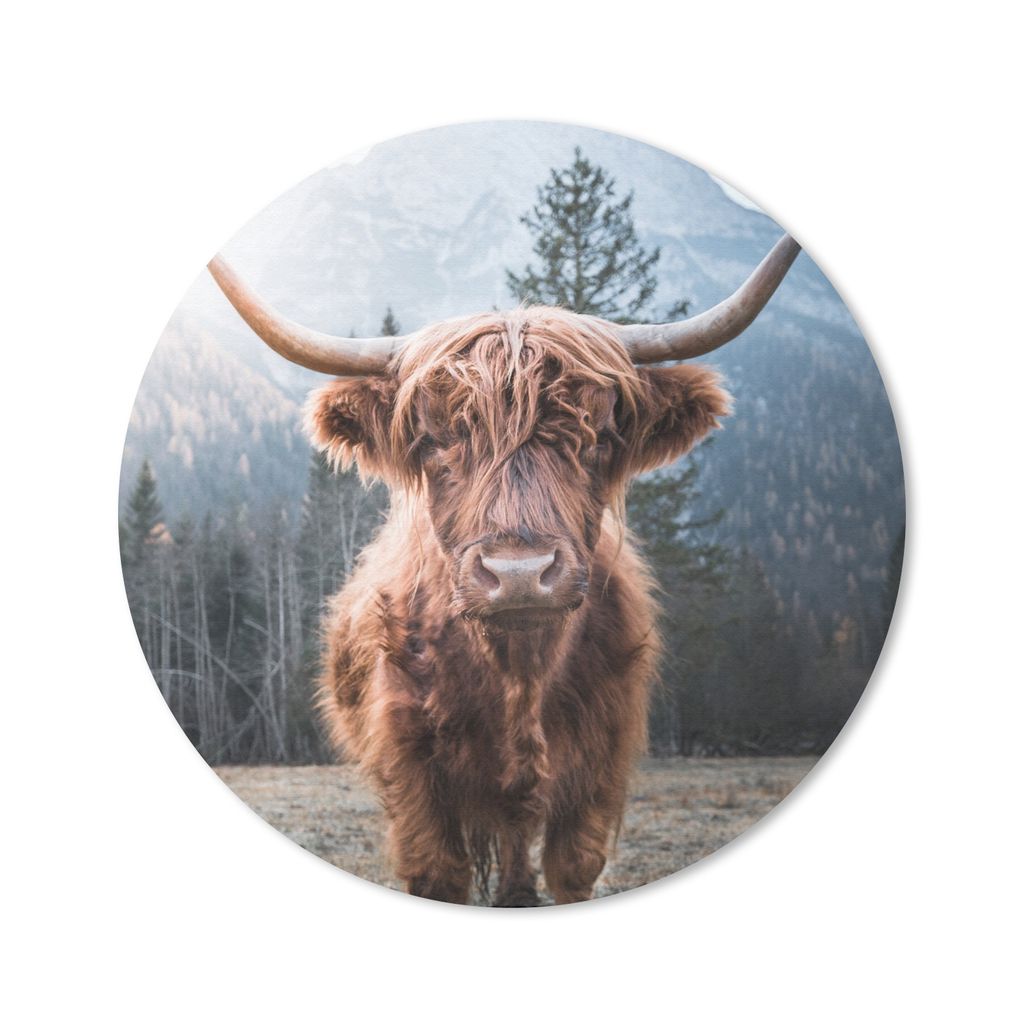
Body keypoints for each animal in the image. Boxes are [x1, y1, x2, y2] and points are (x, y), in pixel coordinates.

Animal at [208, 233, 800, 905]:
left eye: (599, 435)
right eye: (433, 439)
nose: (519, 572)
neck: (519, 675)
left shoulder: (600, 769)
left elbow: (572, 868)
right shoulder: (413, 775)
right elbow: (439, 873)